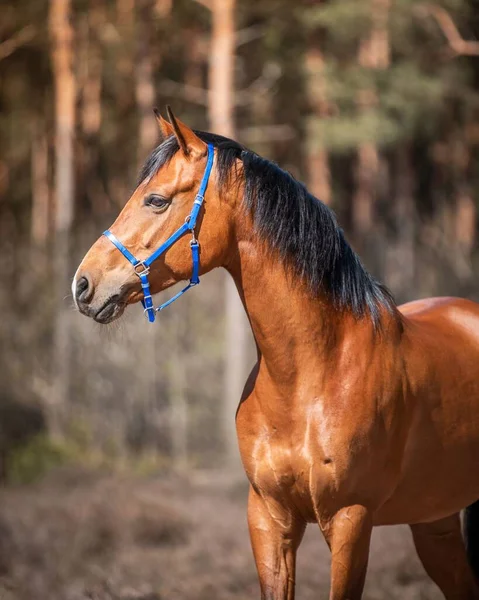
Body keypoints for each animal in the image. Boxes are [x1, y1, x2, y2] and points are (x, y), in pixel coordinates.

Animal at [72, 109, 479, 600]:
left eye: (155, 200)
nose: (83, 285)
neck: (311, 377)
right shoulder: (269, 517)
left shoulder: (350, 520)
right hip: (434, 520)